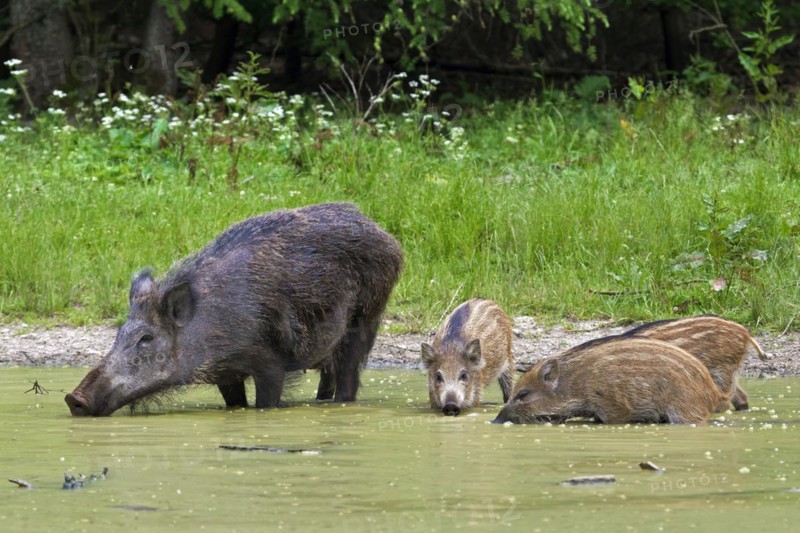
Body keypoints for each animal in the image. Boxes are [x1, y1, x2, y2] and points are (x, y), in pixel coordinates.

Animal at [65, 202, 403, 416]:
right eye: (118, 334)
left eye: (146, 338)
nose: (73, 397)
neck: (209, 326)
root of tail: (390, 241)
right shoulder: (225, 374)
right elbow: (235, 404)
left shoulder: (270, 363)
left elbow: (266, 402)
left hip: (367, 317)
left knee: (349, 382)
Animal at [493, 337, 727, 425]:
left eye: (523, 394)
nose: (494, 420)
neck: (576, 385)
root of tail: (715, 392)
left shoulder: (614, 407)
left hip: (685, 411)